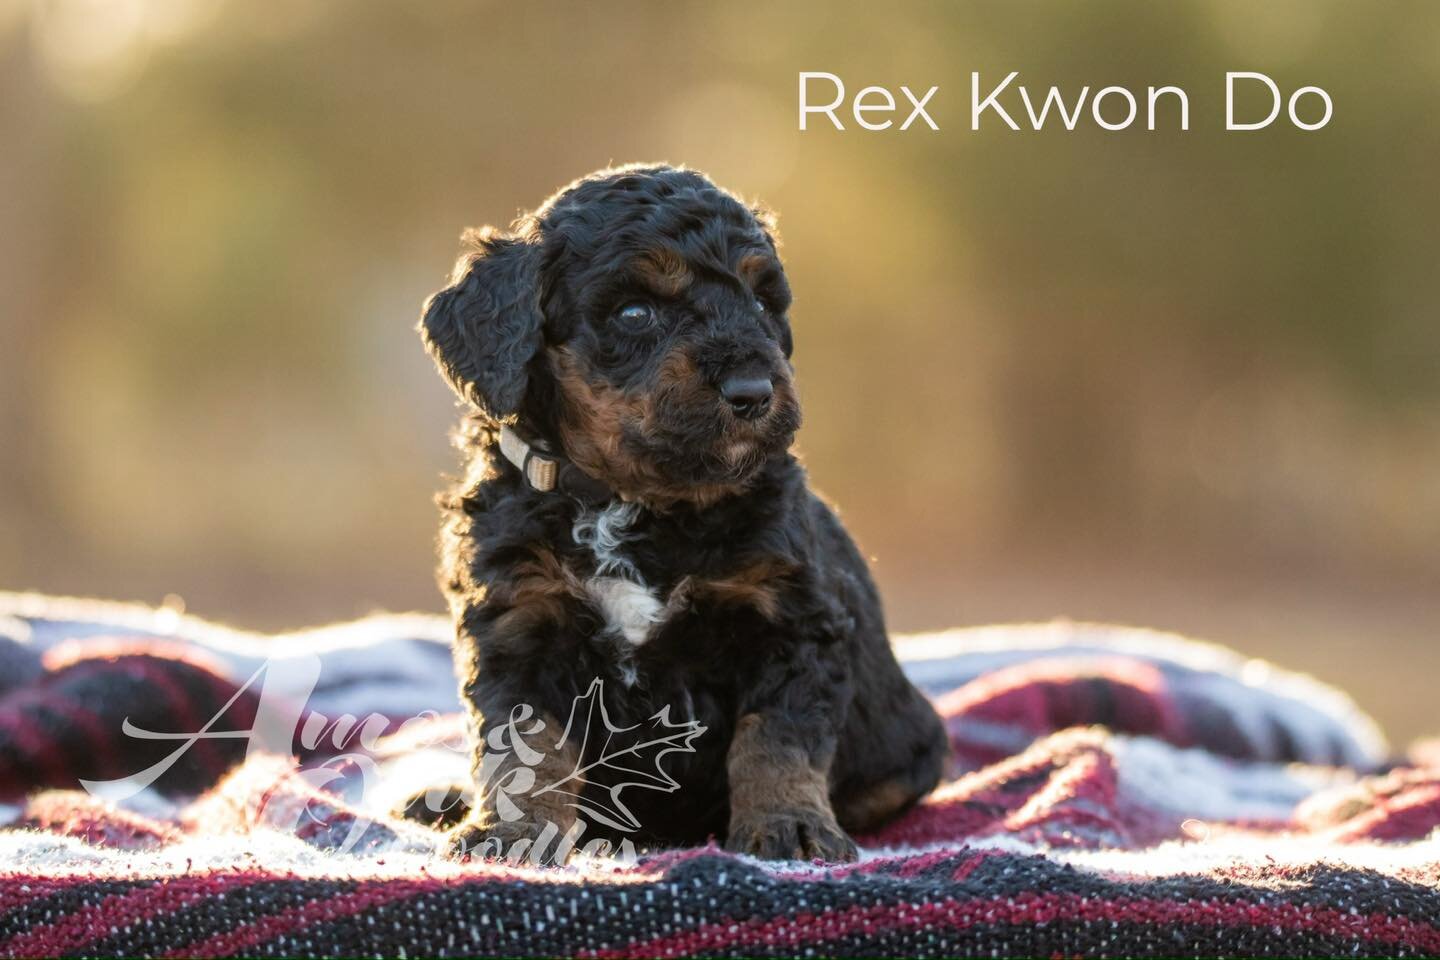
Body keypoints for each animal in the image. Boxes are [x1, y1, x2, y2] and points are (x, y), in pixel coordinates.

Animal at [420, 163, 944, 863]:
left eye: (761, 303)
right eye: (635, 312)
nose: (753, 392)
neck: (631, 502)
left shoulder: (792, 621)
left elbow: (776, 738)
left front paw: (790, 824)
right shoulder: (519, 621)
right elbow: (525, 747)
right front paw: (512, 832)